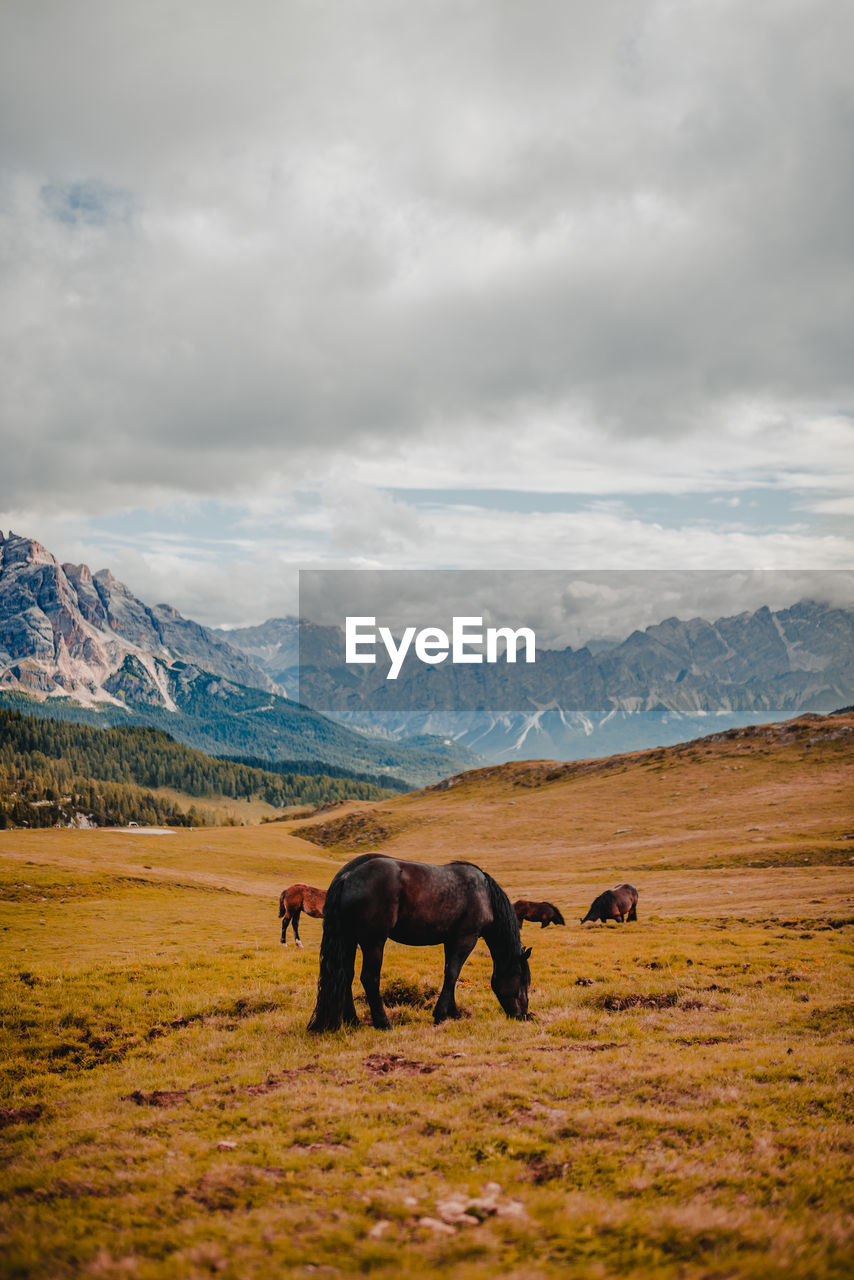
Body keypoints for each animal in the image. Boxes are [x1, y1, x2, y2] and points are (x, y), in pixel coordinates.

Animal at [307, 855, 535, 1034]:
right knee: (369, 978)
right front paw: (441, 1014)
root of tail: (347, 876)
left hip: (349, 940)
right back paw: (383, 1023)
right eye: (523, 981)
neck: (485, 894)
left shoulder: (451, 941)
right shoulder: (465, 939)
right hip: (373, 942)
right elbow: (453, 973)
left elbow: (450, 975)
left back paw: (353, 1021)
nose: (523, 1014)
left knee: (346, 976)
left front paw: (453, 1012)